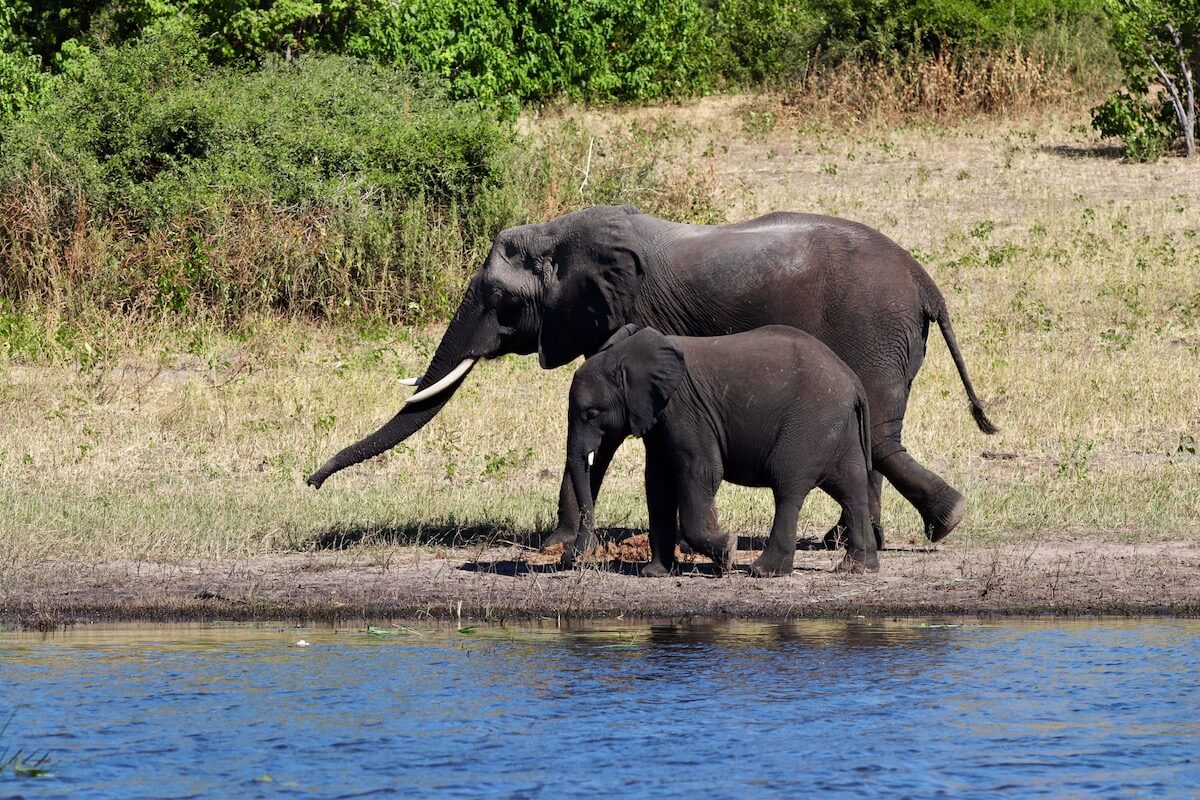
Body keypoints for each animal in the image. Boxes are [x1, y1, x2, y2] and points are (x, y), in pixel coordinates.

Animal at [307, 204, 996, 548]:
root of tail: (927, 282)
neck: (560, 235)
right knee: (875, 435)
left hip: (872, 330)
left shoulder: (630, 318)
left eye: (499, 299)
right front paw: (559, 542)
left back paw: (931, 525)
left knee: (876, 434)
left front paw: (552, 546)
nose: (311, 482)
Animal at [564, 324, 879, 577]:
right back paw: (857, 567)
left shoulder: (684, 410)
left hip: (809, 424)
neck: (627, 353)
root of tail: (853, 381)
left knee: (788, 488)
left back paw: (763, 571)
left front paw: (728, 550)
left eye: (591, 413)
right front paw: (654, 574)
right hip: (839, 427)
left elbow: (701, 472)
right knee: (852, 490)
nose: (573, 557)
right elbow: (658, 483)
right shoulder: (659, 419)